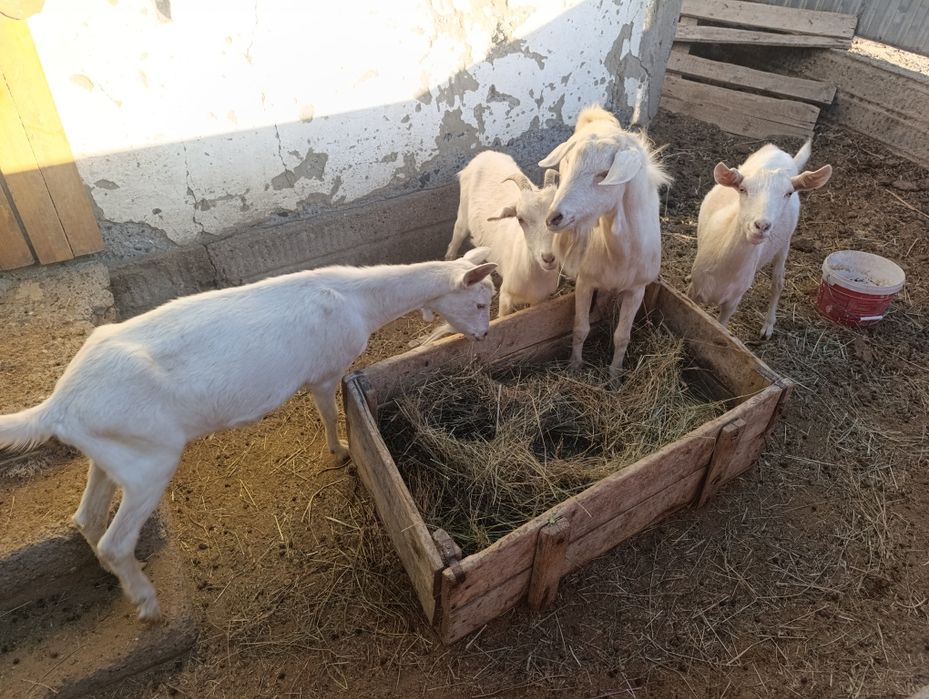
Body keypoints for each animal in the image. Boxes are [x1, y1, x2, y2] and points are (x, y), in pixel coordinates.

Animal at [0, 250, 496, 622]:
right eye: (479, 302)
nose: (484, 335)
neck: (360, 301)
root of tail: (59, 405)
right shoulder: (325, 370)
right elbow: (329, 414)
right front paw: (339, 452)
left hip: (110, 455)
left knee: (86, 519)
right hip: (150, 463)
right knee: (113, 540)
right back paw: (148, 603)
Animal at [539, 105, 670, 378]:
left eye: (603, 174)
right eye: (567, 164)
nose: (553, 217)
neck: (621, 254)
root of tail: (597, 113)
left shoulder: (637, 289)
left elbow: (622, 336)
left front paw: (615, 376)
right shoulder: (586, 282)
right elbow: (580, 328)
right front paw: (575, 366)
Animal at [687, 140, 832, 338]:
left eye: (788, 193)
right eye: (742, 189)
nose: (761, 225)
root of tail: (783, 154)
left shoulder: (733, 301)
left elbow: (721, 327)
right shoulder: (694, 290)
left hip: (785, 244)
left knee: (778, 282)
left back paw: (768, 326)